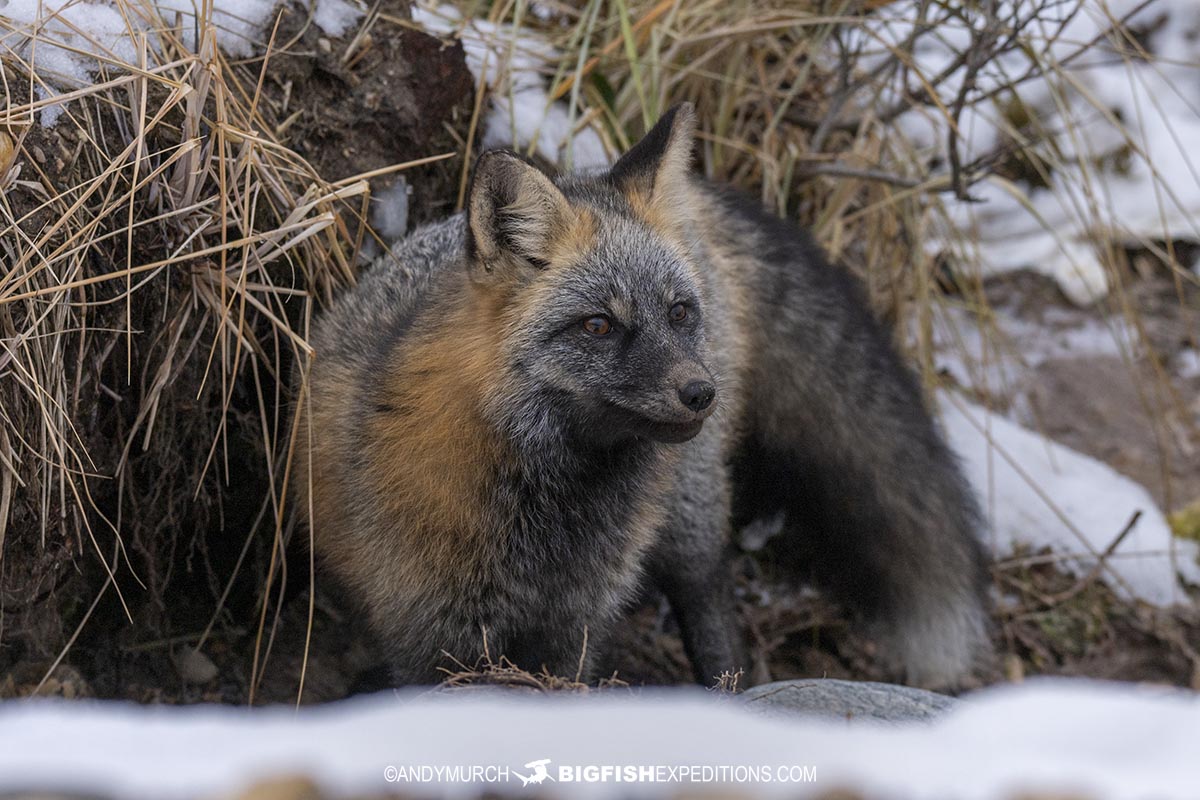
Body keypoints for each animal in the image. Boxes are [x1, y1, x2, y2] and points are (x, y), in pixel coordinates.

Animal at [293, 103, 990, 689]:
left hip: (688, 518)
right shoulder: (429, 632)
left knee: (711, 605)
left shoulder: (576, 628)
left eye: (679, 313)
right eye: (599, 325)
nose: (701, 393)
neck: (546, 523)